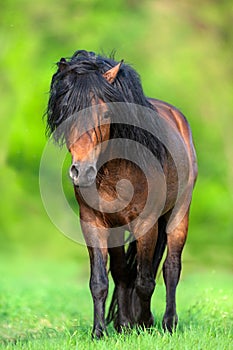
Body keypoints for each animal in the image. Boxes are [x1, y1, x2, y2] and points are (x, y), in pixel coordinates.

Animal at [45, 50, 197, 340]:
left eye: (105, 112)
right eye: (65, 110)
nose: (82, 171)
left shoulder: (146, 223)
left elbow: (146, 279)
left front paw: (146, 323)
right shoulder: (92, 222)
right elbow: (101, 281)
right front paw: (100, 331)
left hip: (178, 215)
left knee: (171, 268)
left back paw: (168, 323)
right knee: (122, 272)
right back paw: (125, 324)